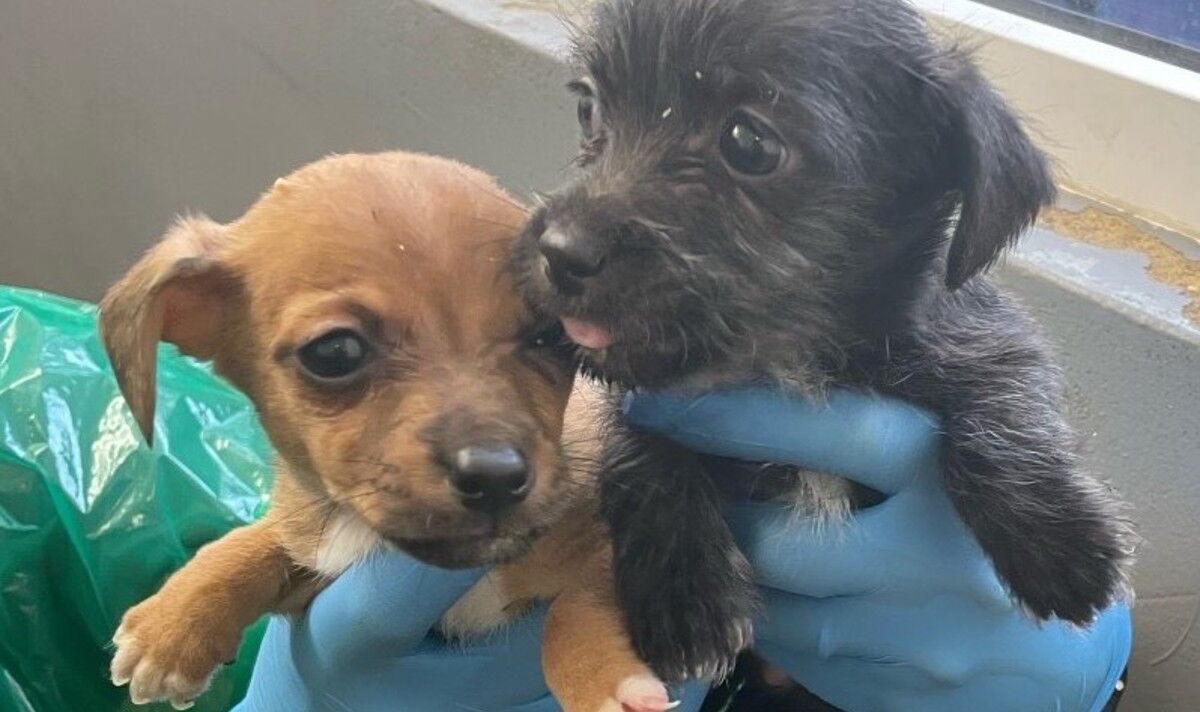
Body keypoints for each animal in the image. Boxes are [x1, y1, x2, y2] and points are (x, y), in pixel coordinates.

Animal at [98, 151, 672, 710]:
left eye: (552, 336)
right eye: (334, 352)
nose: (495, 477)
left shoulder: (609, 544)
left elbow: (577, 604)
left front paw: (602, 680)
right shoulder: (317, 571)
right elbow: (262, 540)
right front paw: (175, 621)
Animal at [516, 0, 1132, 686]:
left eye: (750, 143)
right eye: (587, 107)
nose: (560, 251)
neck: (791, 364)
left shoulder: (993, 335)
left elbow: (1005, 396)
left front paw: (1057, 538)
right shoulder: (653, 397)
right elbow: (640, 446)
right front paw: (681, 591)